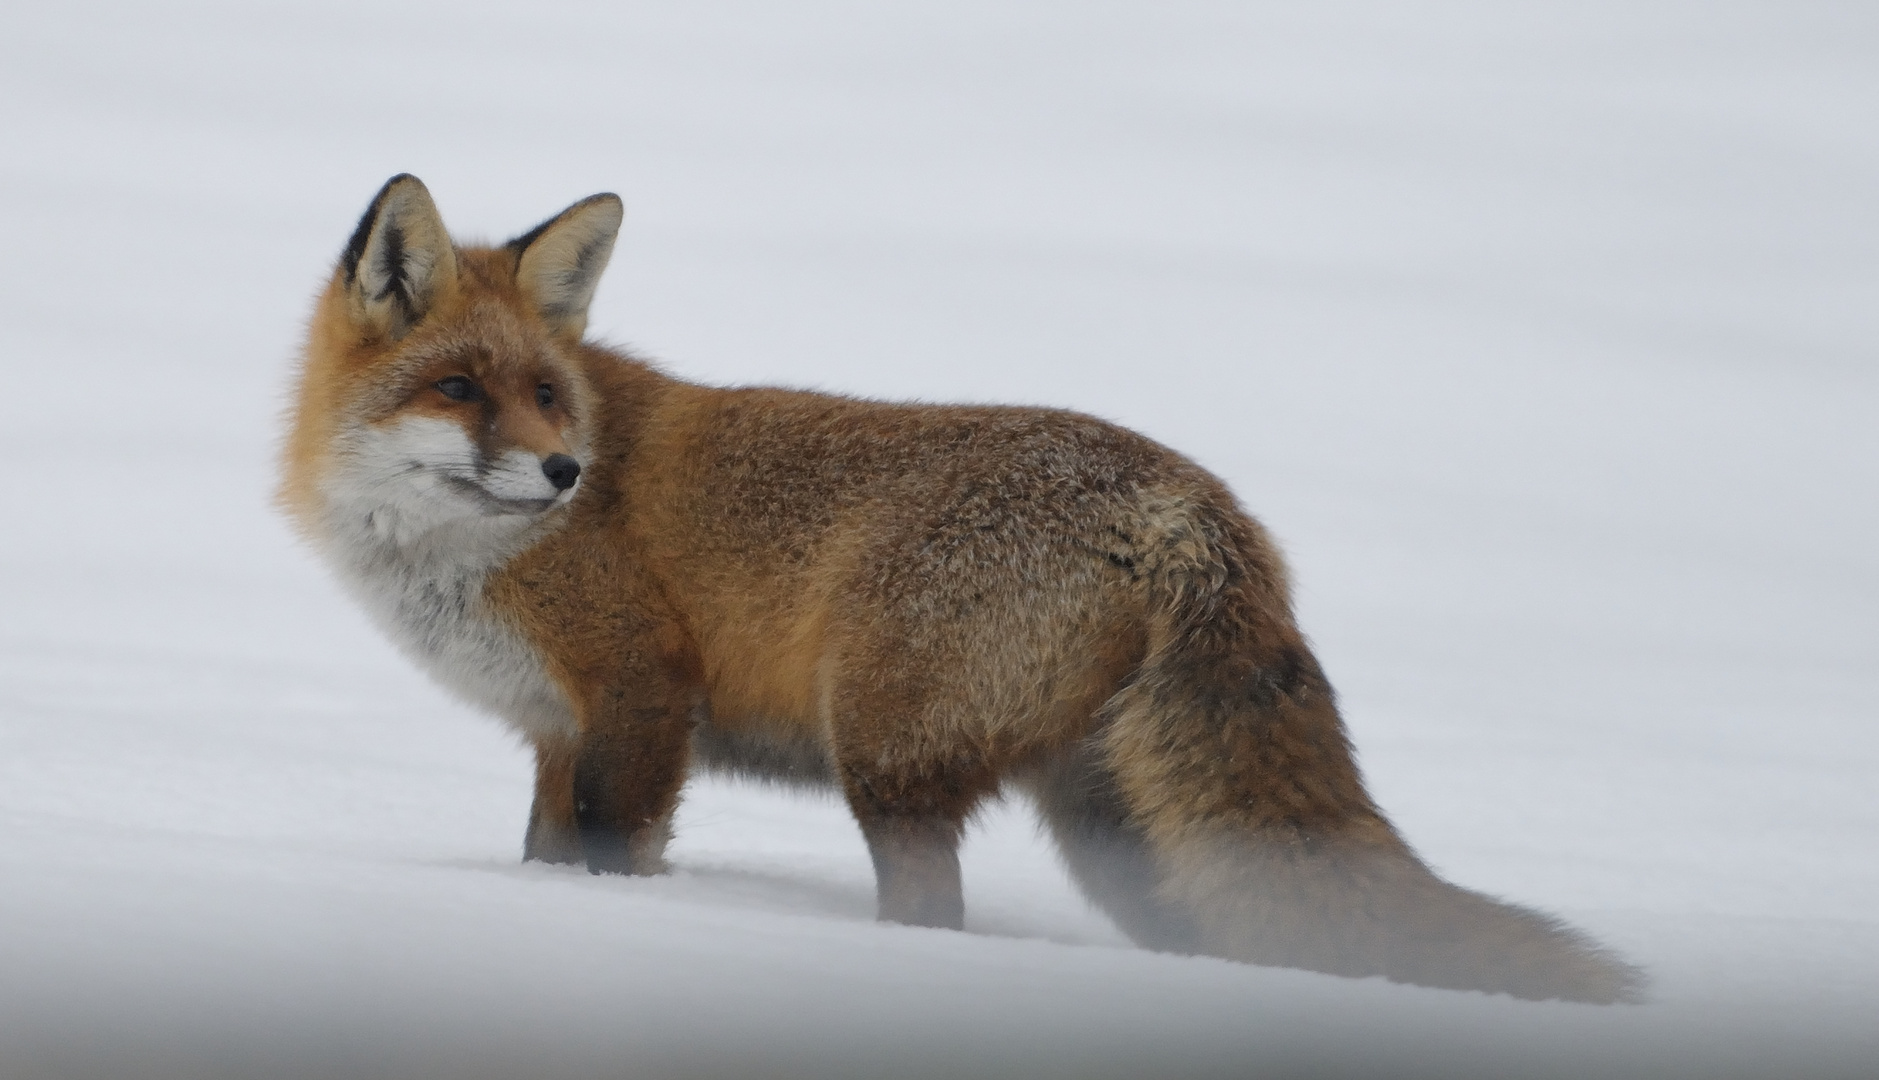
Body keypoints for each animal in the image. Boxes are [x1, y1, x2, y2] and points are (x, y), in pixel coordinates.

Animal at [281, 175, 1646, 1006]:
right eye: (462, 388)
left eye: (548, 396)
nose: (566, 472)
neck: (457, 561)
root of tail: (1195, 504)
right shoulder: (554, 732)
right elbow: (543, 854)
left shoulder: (639, 694)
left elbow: (613, 859)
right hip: (1119, 840)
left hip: (886, 758)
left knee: (933, 916)